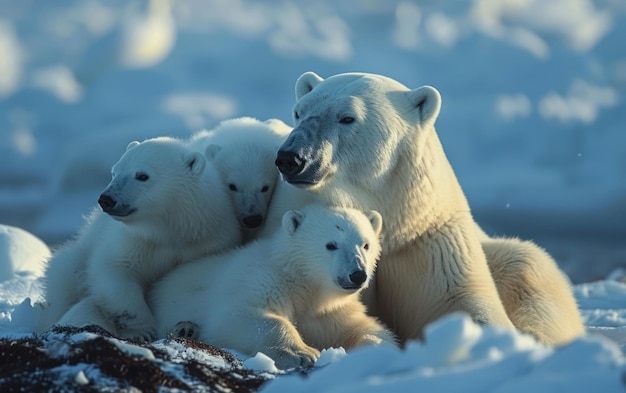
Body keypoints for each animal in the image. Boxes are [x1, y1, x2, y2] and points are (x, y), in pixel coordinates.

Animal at [270, 72, 584, 344]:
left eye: (347, 117)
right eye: (298, 112)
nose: (291, 158)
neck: (391, 219)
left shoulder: (427, 240)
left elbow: (457, 301)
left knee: (528, 269)